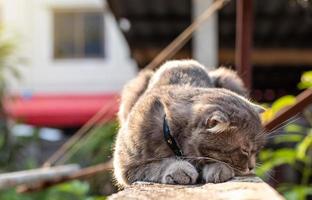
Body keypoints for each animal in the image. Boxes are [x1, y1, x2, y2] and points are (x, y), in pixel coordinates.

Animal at [113, 59, 264, 186]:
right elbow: (157, 165)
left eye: (255, 150)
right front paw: (179, 169)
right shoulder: (127, 167)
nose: (251, 167)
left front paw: (220, 168)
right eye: (245, 150)